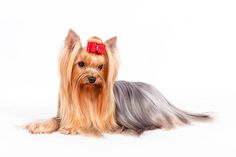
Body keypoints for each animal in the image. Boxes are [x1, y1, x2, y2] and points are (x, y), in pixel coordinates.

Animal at [26, 29, 212, 136]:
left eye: (101, 66)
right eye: (81, 64)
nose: (92, 78)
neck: (87, 94)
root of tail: (162, 98)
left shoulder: (103, 122)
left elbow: (88, 124)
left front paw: (72, 128)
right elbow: (55, 120)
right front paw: (38, 125)